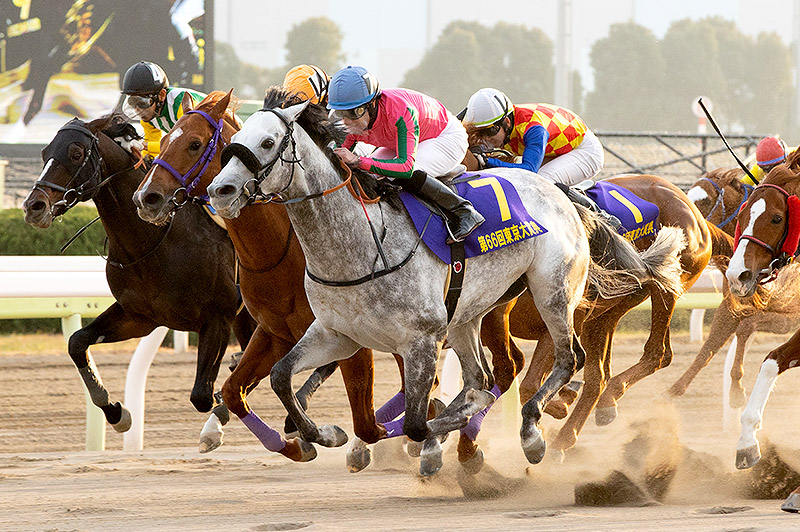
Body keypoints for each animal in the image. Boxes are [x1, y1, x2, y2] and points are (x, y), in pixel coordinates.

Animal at [205, 94, 680, 466]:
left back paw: (530, 432)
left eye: (268, 141)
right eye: (237, 138)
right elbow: (283, 378)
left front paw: (431, 438)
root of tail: (562, 193)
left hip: (552, 291)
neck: (363, 243)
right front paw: (326, 435)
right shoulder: (337, 334)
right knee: (483, 376)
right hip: (469, 314)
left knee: (566, 359)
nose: (219, 191)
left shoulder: (420, 341)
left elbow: (416, 423)